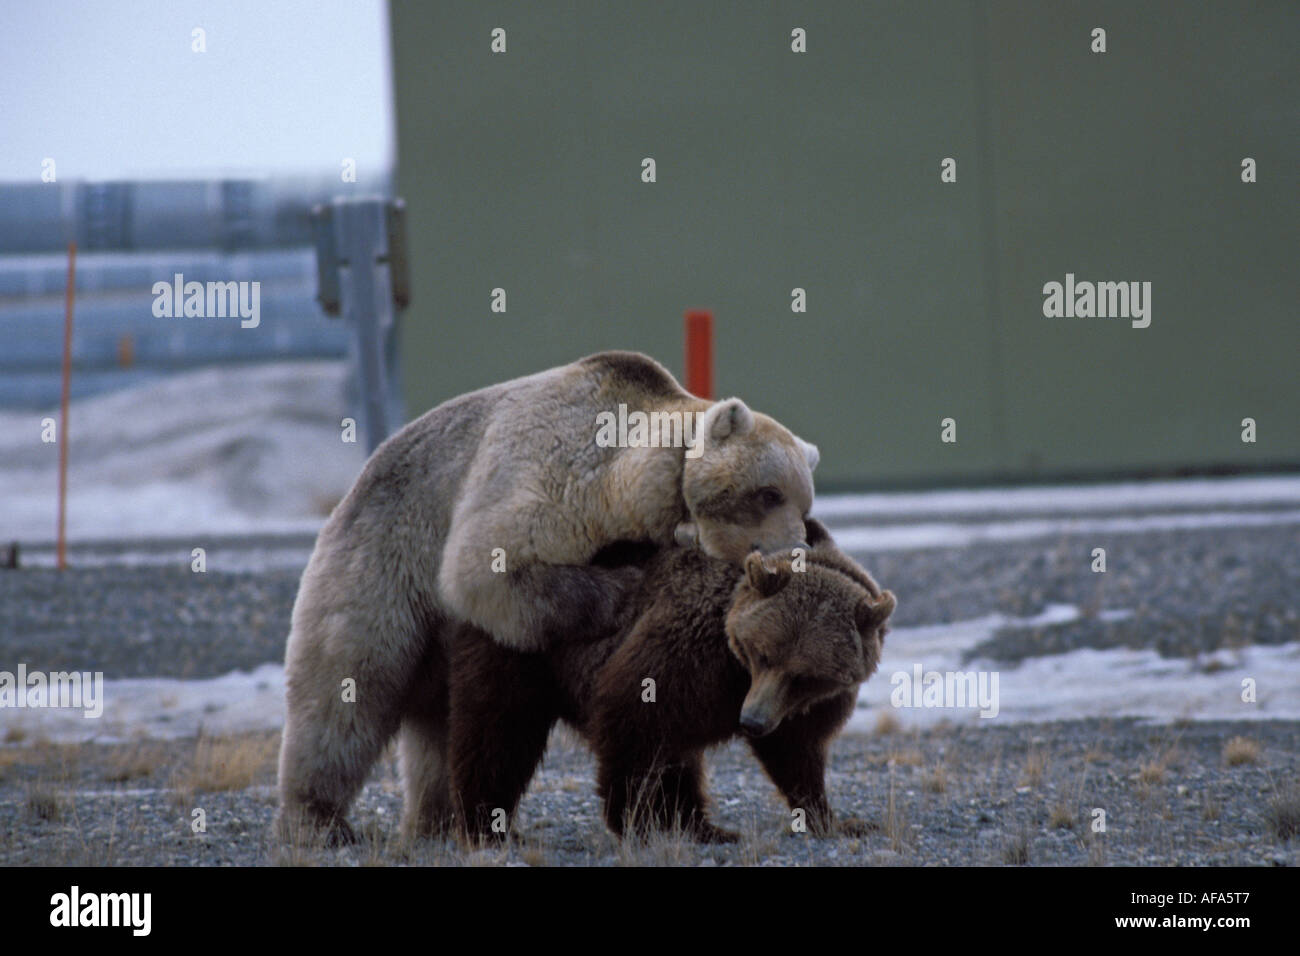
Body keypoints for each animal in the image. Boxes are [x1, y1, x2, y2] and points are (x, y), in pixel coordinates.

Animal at [276, 350, 821, 843]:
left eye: (805, 503)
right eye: (769, 492)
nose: (796, 551)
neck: (632, 486)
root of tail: (350, 491)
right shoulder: (554, 473)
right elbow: (485, 565)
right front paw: (624, 587)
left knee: (434, 728)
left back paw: (435, 818)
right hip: (383, 566)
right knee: (344, 691)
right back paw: (319, 818)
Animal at [447, 520, 896, 843]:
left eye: (805, 676)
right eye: (763, 653)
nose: (751, 721)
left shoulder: (803, 702)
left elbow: (797, 752)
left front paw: (836, 819)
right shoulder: (689, 647)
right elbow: (634, 716)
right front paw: (630, 822)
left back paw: (706, 828)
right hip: (519, 645)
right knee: (500, 731)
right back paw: (488, 826)